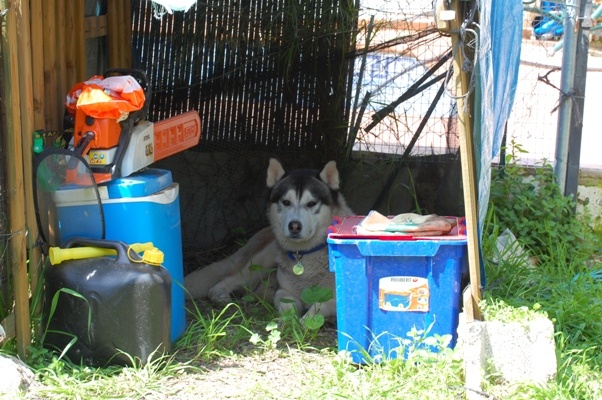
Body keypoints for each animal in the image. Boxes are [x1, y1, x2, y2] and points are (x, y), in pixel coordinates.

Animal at [184, 158, 352, 320]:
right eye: (286, 202)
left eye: (311, 203)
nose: (294, 226)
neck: (305, 256)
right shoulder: (284, 291)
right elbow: (287, 306)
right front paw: (288, 322)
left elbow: (319, 306)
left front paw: (304, 322)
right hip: (260, 263)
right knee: (220, 285)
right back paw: (225, 299)